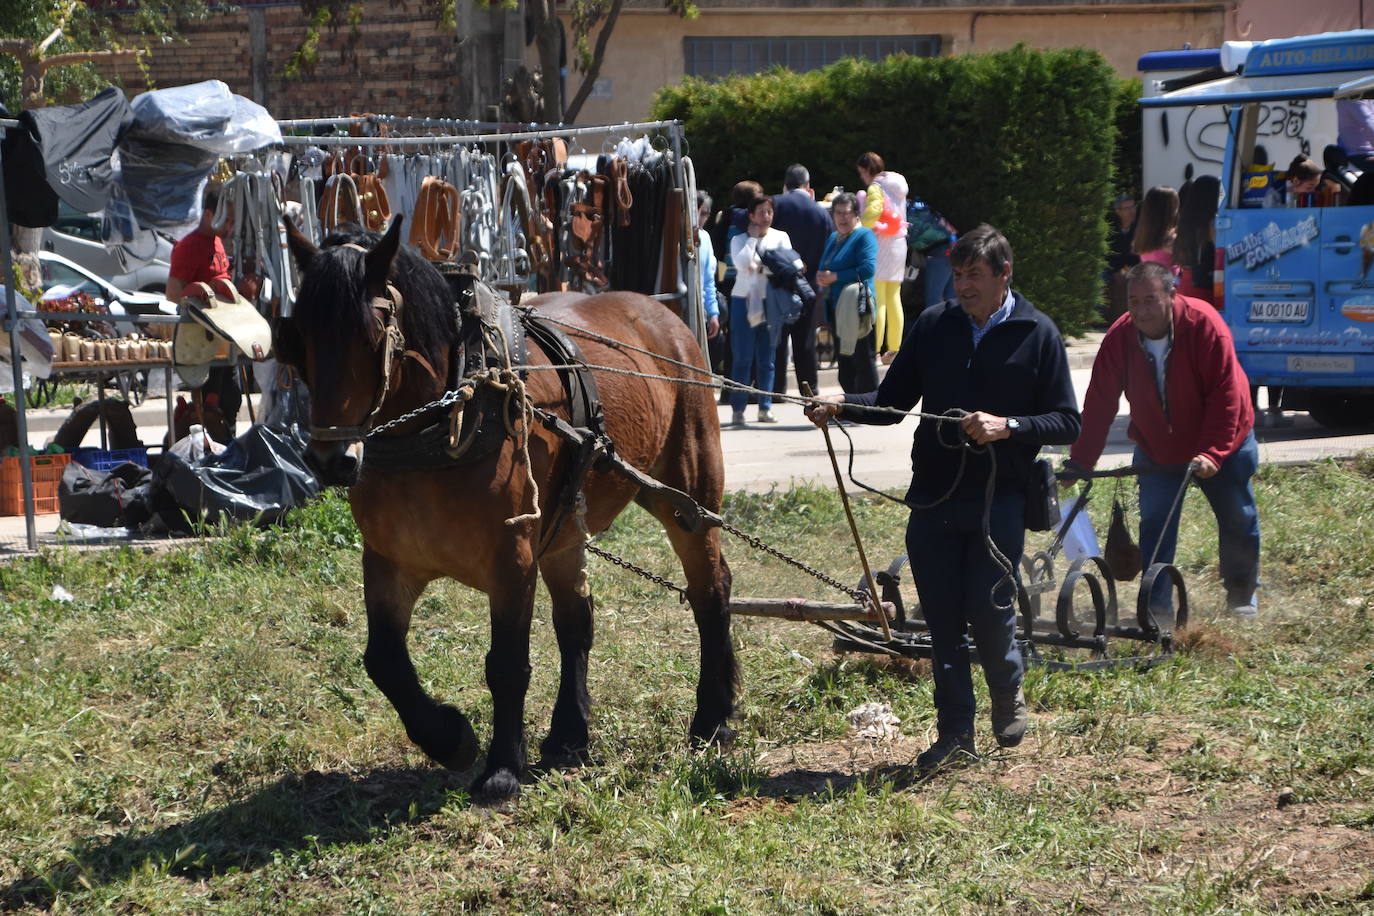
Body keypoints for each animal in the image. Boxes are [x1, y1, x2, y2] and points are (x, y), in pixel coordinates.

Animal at [273, 218, 736, 796]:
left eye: (372, 334)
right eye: (298, 339)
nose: (331, 459)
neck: (449, 417)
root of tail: (665, 318)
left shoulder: (511, 559)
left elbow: (507, 664)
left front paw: (501, 769)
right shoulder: (388, 561)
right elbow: (383, 660)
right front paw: (449, 738)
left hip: (686, 495)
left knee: (710, 588)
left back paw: (713, 719)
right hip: (565, 526)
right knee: (577, 620)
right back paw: (569, 735)